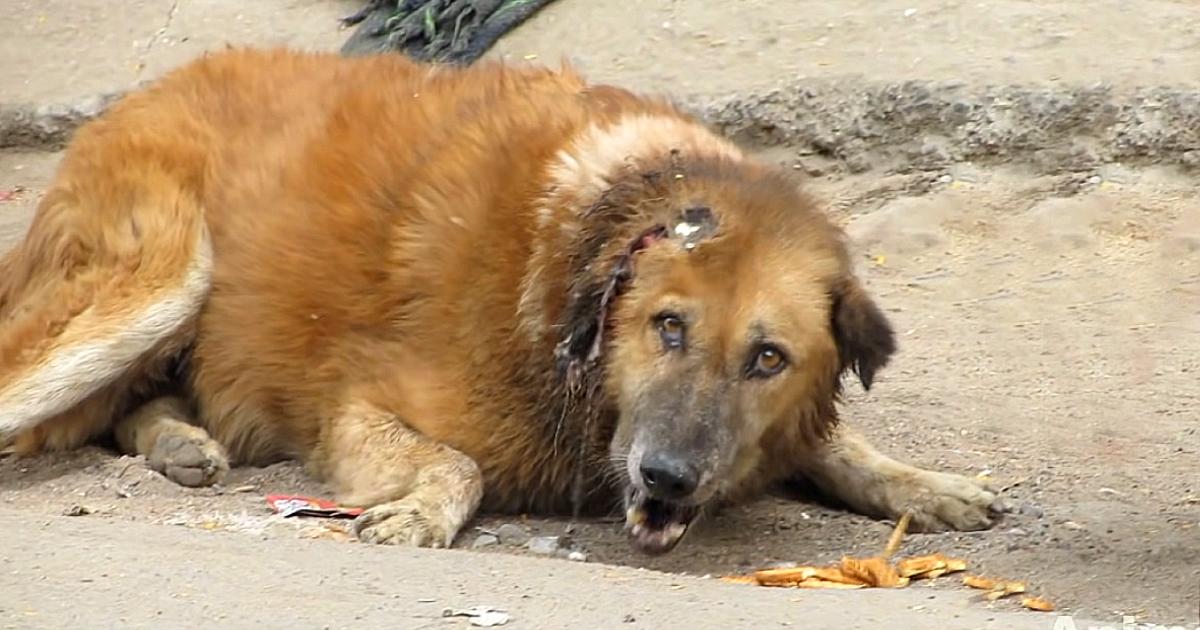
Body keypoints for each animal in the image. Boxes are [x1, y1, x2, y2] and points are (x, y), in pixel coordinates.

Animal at [0, 46, 1003, 552]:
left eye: (769, 357)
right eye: (667, 327)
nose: (667, 479)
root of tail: (136, 98)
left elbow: (839, 443)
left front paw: (929, 485)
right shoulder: (357, 407)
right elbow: (458, 465)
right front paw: (420, 513)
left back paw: (181, 443)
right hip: (162, 281)